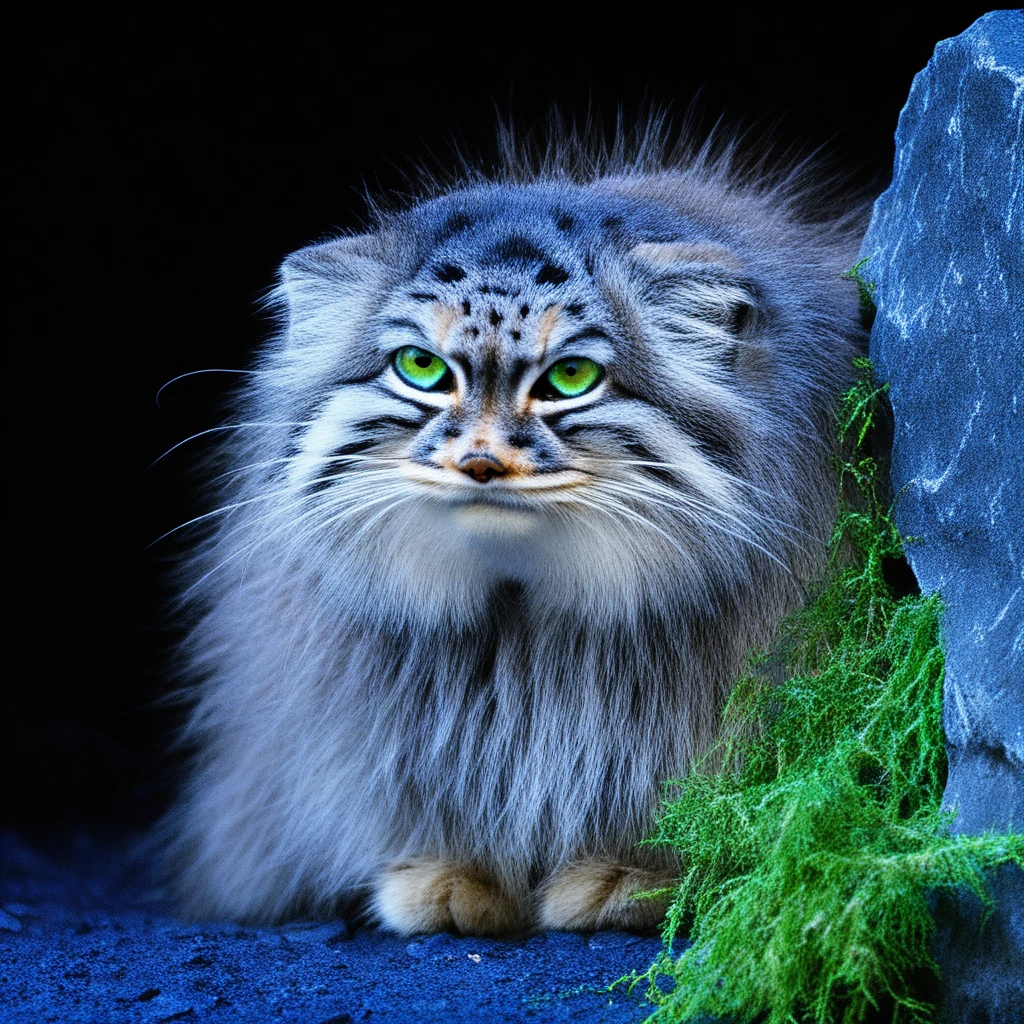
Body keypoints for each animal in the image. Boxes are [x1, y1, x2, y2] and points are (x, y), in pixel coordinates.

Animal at [163, 134, 868, 937]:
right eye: (422, 368)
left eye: (570, 378)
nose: (480, 463)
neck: (526, 623)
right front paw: (451, 871)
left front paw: (635, 872)